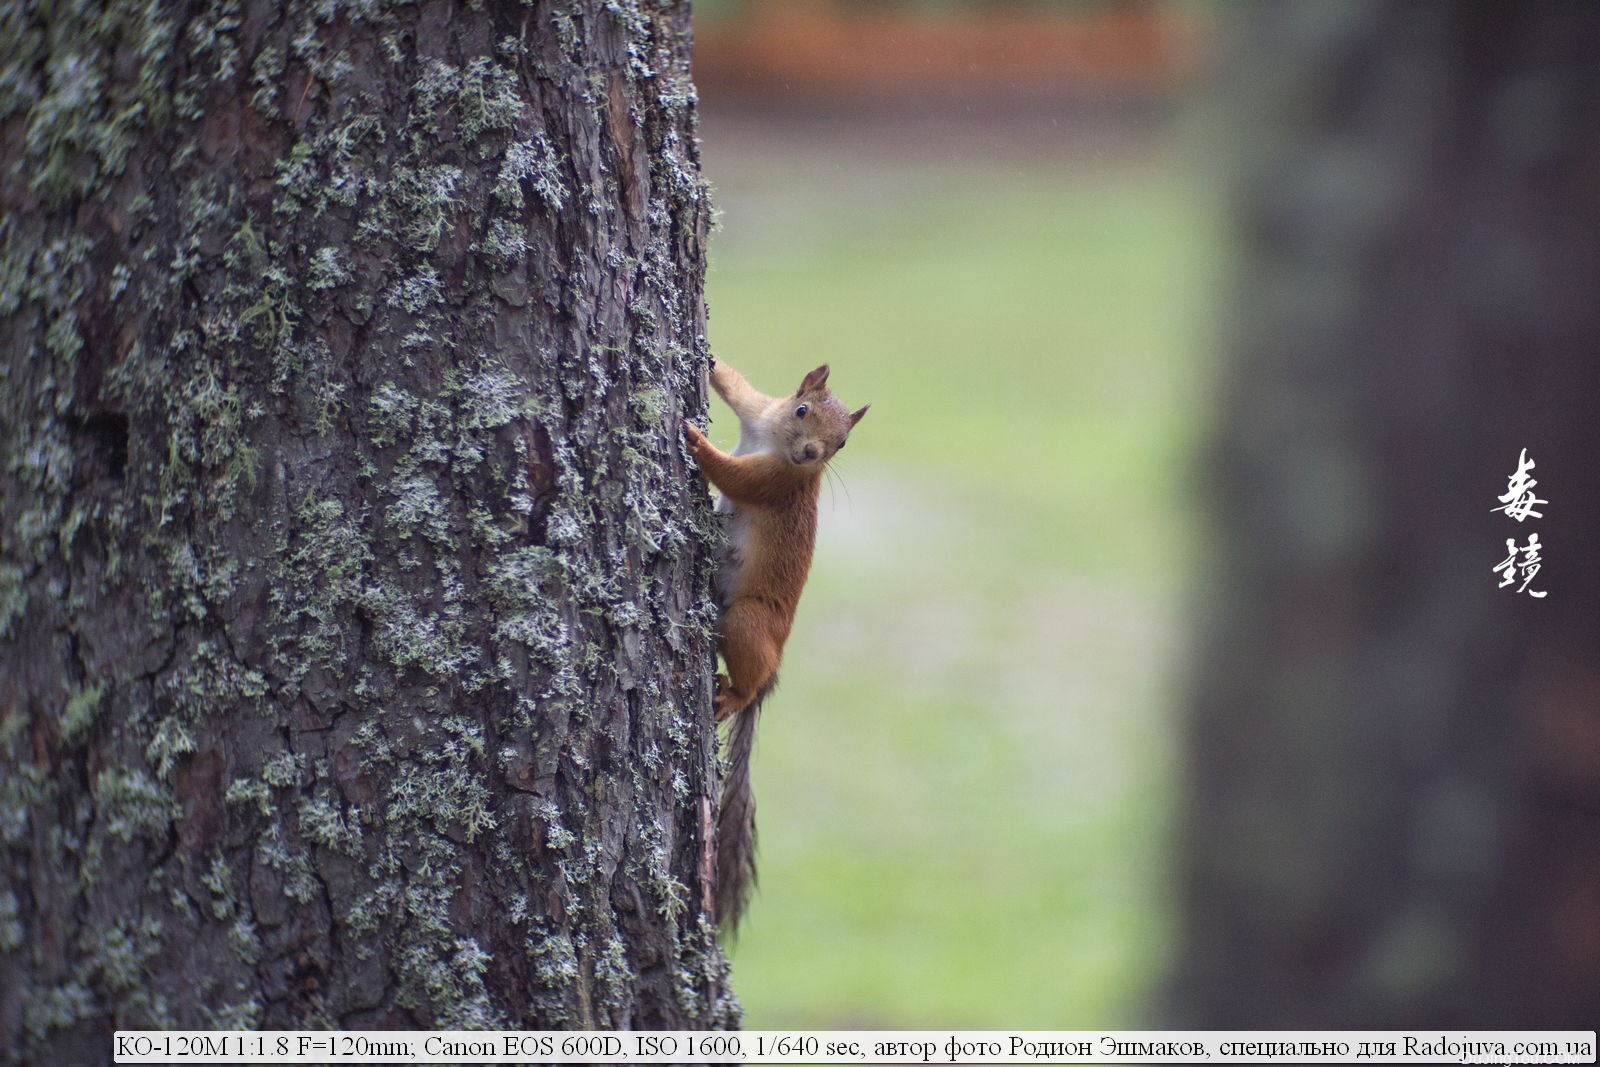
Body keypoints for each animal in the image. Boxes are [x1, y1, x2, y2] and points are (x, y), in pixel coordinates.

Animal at [681, 361, 870, 934]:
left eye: (843, 443)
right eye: (802, 408)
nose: (810, 454)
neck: (774, 441)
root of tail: (774, 669)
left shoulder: (777, 481)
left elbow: (734, 477)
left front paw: (696, 442)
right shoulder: (758, 409)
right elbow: (737, 387)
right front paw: (712, 364)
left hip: (745, 622)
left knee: (746, 677)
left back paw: (732, 696)